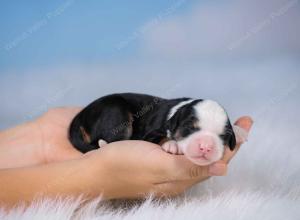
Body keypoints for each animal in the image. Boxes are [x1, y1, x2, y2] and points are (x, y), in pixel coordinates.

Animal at [69, 93, 243, 165]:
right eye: (189, 128)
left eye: (223, 136)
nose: (206, 147)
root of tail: (82, 113)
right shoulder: (149, 133)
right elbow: (161, 137)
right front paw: (173, 145)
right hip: (116, 112)